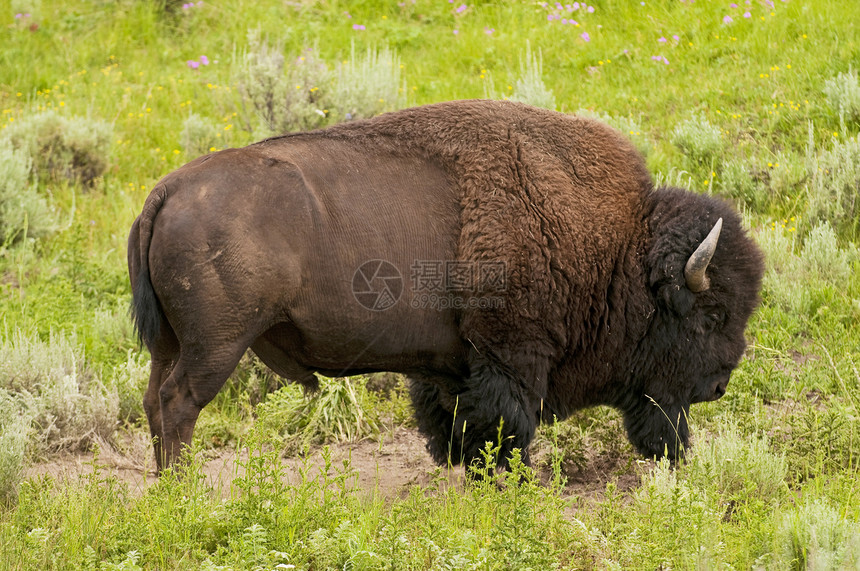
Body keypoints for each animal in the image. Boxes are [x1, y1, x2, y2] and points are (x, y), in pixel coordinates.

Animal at [129, 99, 764, 474]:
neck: (617, 247)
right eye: (710, 315)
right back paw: (184, 487)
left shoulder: (451, 365)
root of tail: (166, 191)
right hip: (217, 345)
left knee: (153, 399)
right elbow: (506, 425)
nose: (718, 385)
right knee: (179, 402)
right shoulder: (512, 356)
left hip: (169, 343)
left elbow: (454, 424)